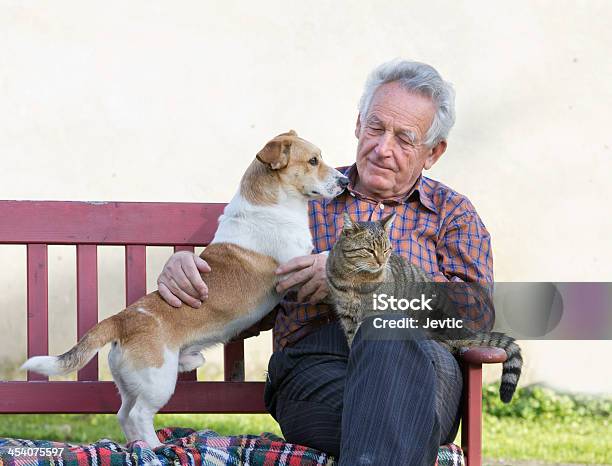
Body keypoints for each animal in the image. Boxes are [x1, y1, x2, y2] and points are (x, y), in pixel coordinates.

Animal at [22, 130, 350, 448]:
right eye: (313, 161)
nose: (346, 182)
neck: (271, 204)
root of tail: (123, 319)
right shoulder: (295, 263)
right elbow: (325, 256)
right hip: (158, 382)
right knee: (139, 415)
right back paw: (155, 447)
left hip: (132, 384)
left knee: (124, 415)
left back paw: (140, 445)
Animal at [328, 213, 524, 402]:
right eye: (369, 250)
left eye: (386, 249)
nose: (382, 262)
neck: (354, 279)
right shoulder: (347, 316)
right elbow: (351, 339)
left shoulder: (374, 313)